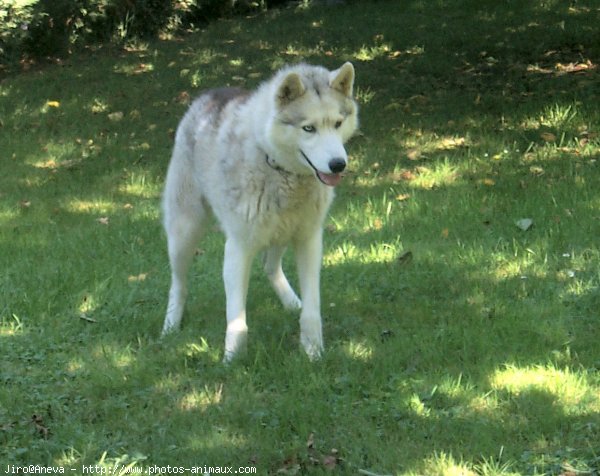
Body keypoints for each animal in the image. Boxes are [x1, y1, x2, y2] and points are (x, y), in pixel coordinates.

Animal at [162, 62, 358, 360]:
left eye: (337, 123)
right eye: (308, 128)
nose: (338, 164)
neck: (280, 169)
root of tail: (210, 94)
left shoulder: (309, 240)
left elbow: (313, 309)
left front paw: (313, 351)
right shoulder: (238, 248)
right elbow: (236, 318)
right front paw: (231, 359)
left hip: (281, 233)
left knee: (270, 266)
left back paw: (292, 302)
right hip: (184, 234)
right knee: (178, 284)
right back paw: (171, 325)